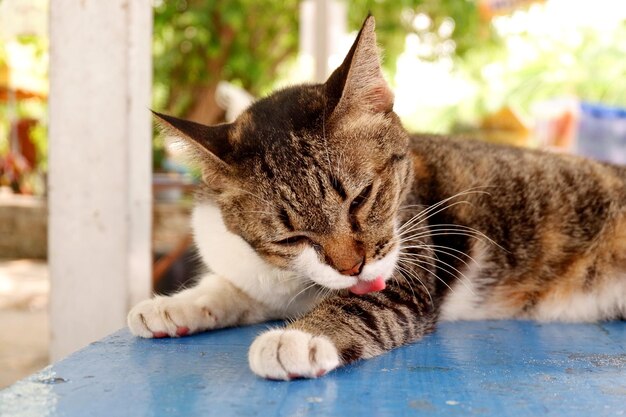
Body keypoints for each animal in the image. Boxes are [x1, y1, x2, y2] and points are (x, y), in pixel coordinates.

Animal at [127, 16, 624, 380]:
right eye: (290, 238)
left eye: (361, 197)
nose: (353, 268)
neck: (293, 280)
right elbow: (232, 287)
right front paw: (174, 305)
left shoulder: (413, 265)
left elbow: (368, 304)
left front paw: (298, 338)